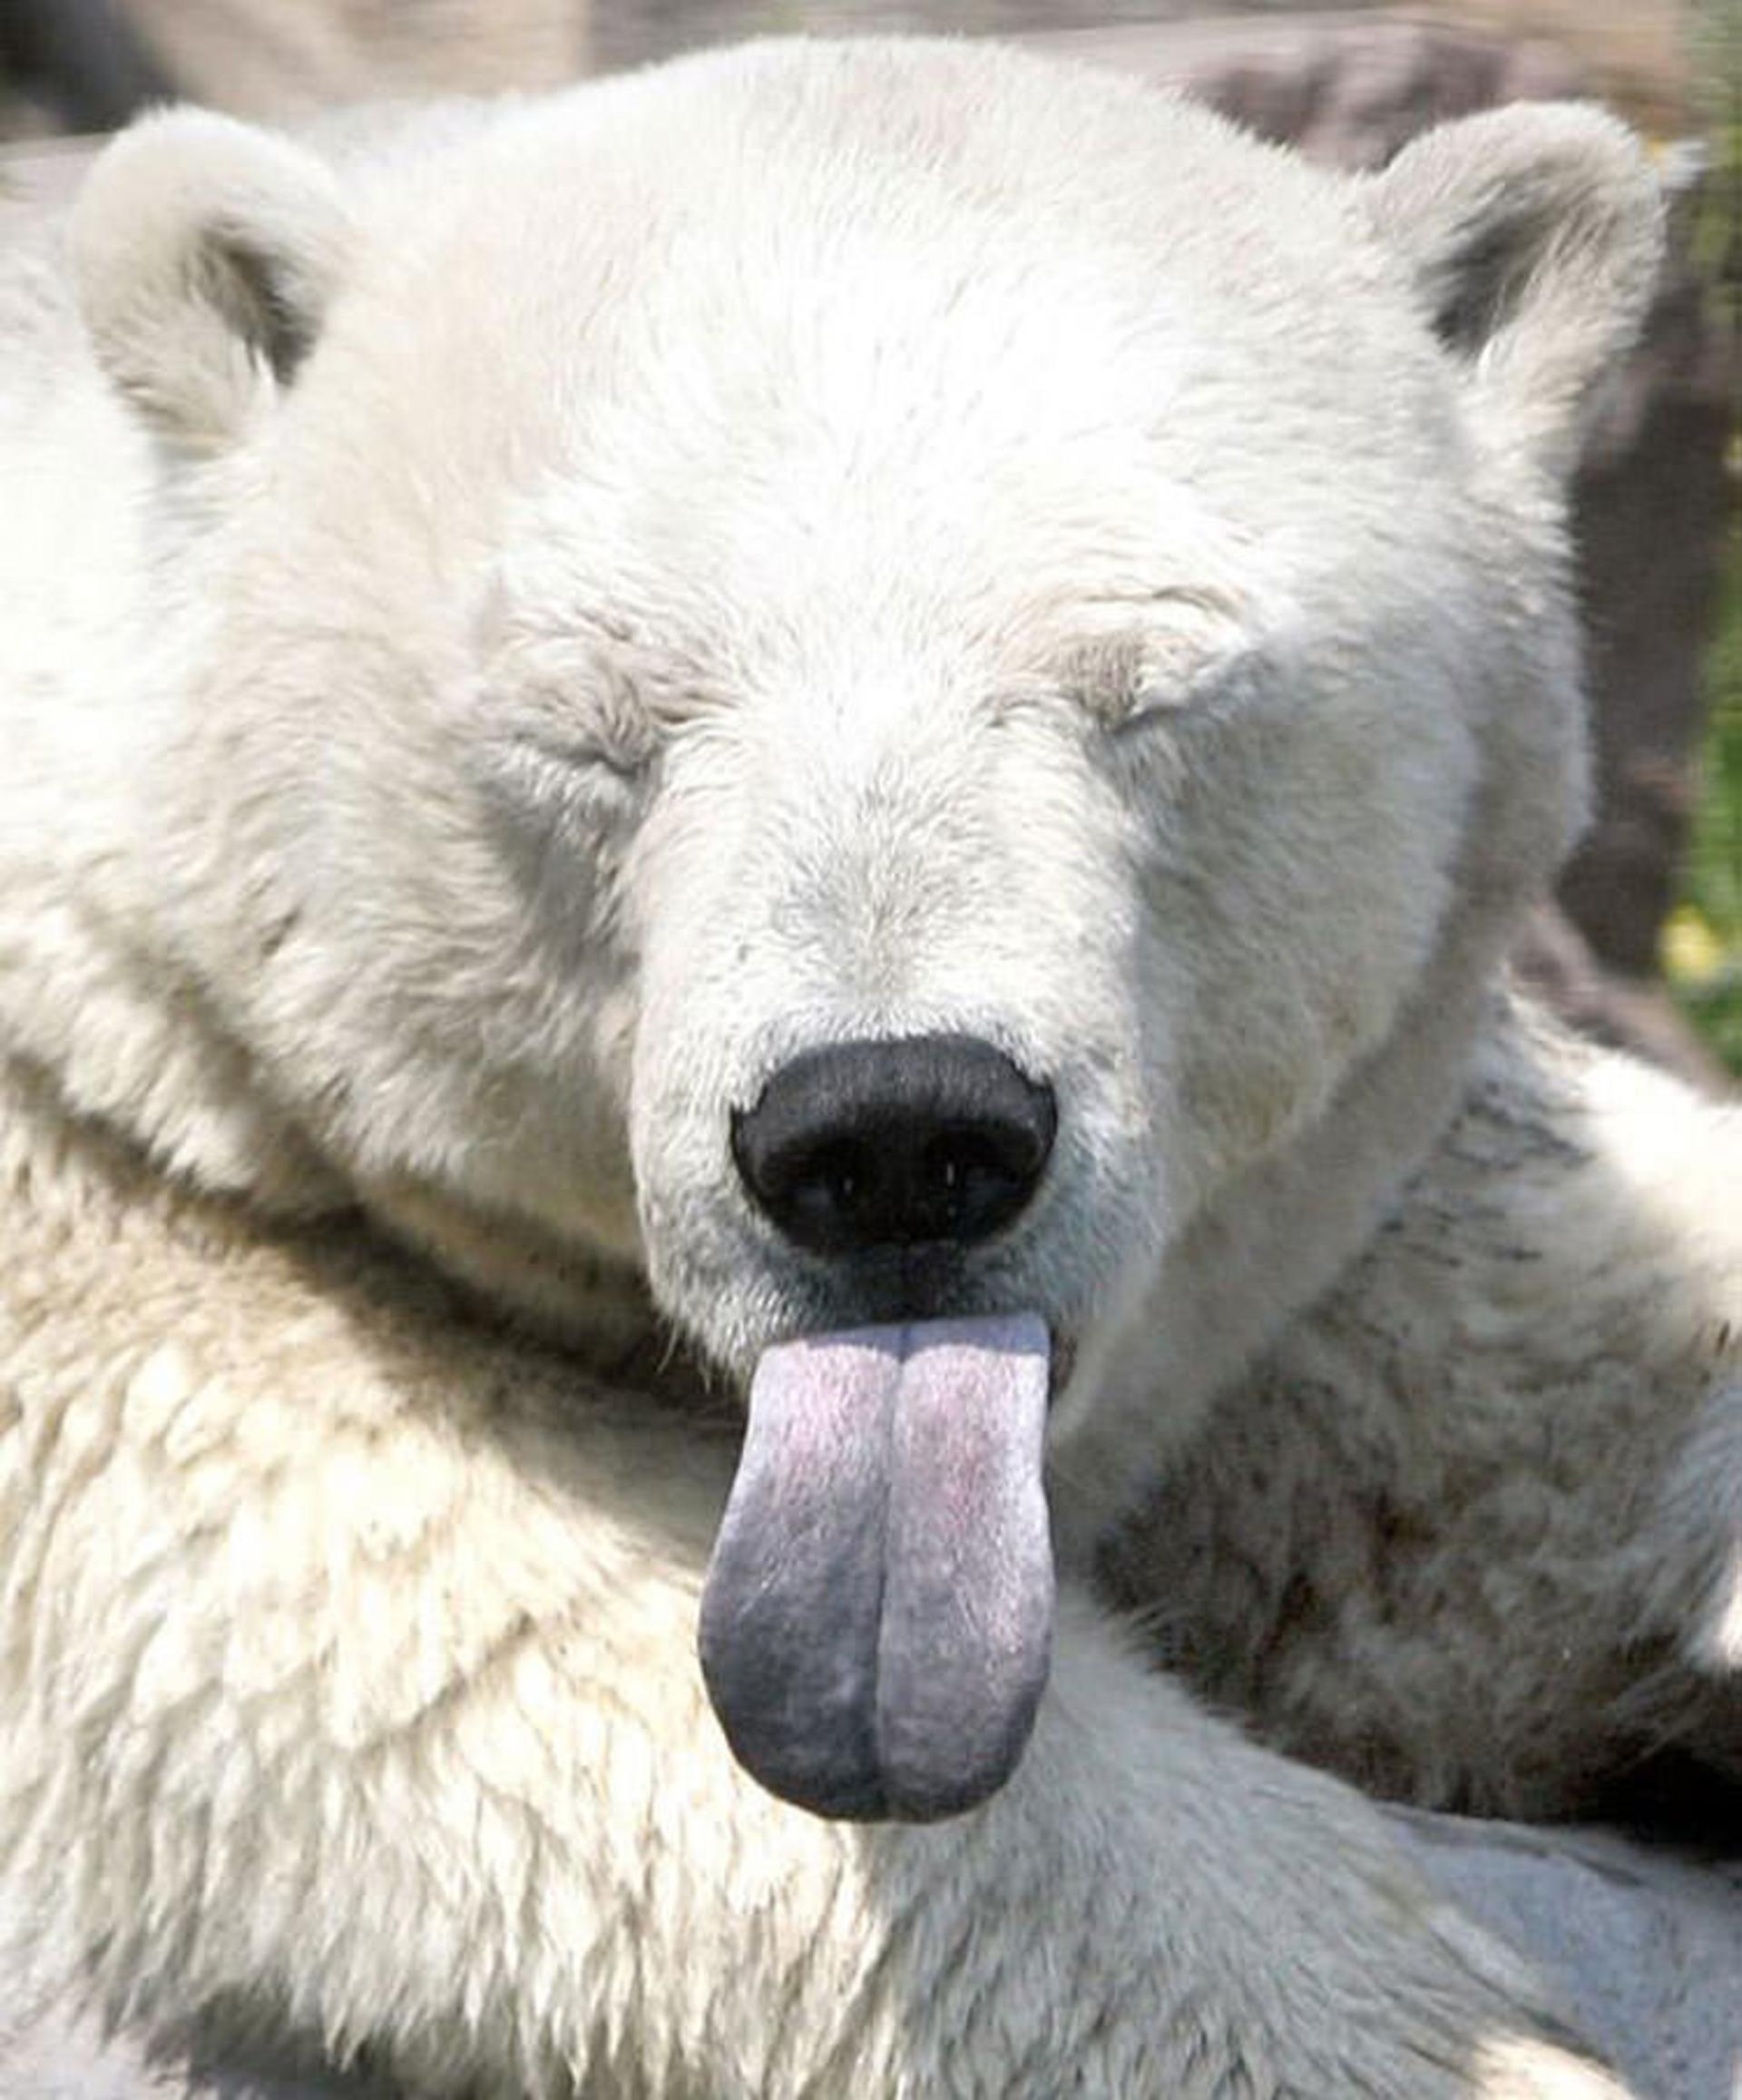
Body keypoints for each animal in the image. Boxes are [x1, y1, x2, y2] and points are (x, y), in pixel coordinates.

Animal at [1, 29, 1738, 2098]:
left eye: (1156, 685)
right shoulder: (109, 1224)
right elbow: (444, 1617)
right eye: (595, 728)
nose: (897, 1133)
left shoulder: (1344, 1236)